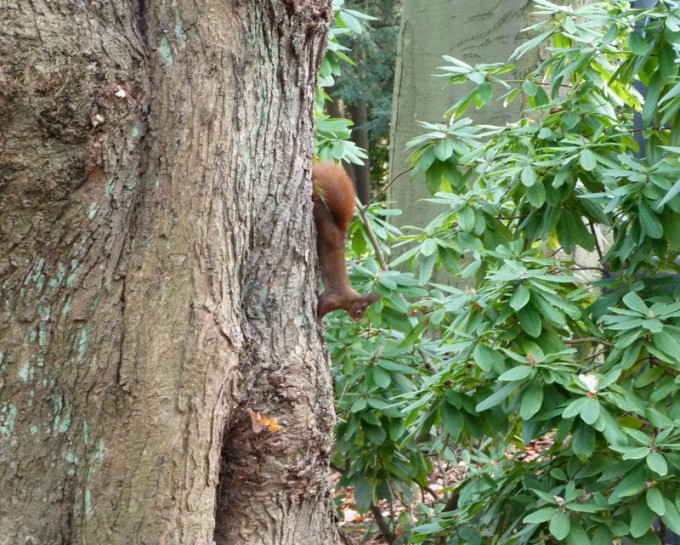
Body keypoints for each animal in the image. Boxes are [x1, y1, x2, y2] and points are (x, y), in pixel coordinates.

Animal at [312, 161, 380, 321]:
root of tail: (340, 232)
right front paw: (318, 319)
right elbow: (322, 308)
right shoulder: (335, 299)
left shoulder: (329, 295)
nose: (359, 320)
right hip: (322, 223)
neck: (349, 299)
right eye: (359, 312)